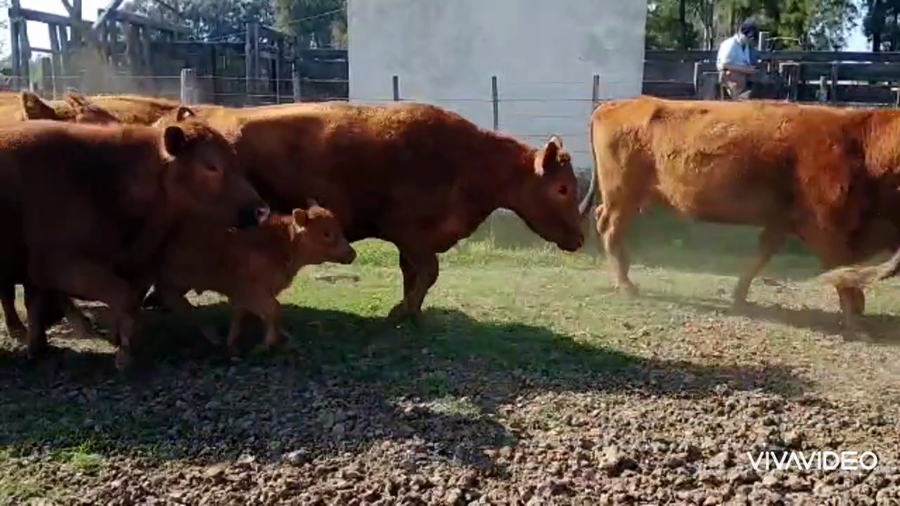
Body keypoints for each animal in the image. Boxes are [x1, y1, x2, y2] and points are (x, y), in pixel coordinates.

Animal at [137, 101, 592, 321]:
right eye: (563, 188)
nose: (580, 237)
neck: (467, 160)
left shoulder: (414, 239)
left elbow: (414, 273)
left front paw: (410, 310)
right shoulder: (408, 230)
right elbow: (427, 271)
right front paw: (403, 312)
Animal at [149, 202, 356, 356]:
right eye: (326, 233)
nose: (352, 254)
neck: (278, 245)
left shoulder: (243, 295)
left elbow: (241, 315)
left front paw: (233, 344)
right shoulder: (251, 291)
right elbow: (274, 310)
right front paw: (265, 344)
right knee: (171, 298)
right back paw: (211, 333)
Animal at [583, 95, 900, 327]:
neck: (862, 145)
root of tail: (614, 104)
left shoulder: (781, 222)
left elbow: (761, 255)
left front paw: (739, 296)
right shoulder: (825, 227)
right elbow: (840, 266)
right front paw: (855, 316)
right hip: (621, 196)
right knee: (610, 229)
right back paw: (626, 285)